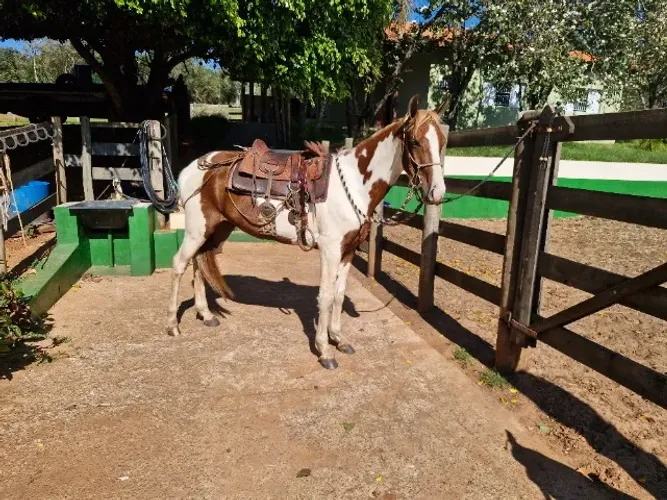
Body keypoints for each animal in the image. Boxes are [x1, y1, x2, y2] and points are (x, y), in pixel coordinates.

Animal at [166, 94, 447, 369]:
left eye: (443, 143)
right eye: (415, 141)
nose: (438, 193)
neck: (353, 184)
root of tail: (195, 167)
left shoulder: (348, 251)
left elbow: (339, 295)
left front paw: (339, 339)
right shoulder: (330, 251)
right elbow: (325, 296)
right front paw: (325, 351)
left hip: (215, 229)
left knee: (199, 264)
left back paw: (206, 315)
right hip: (197, 229)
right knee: (179, 264)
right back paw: (172, 325)